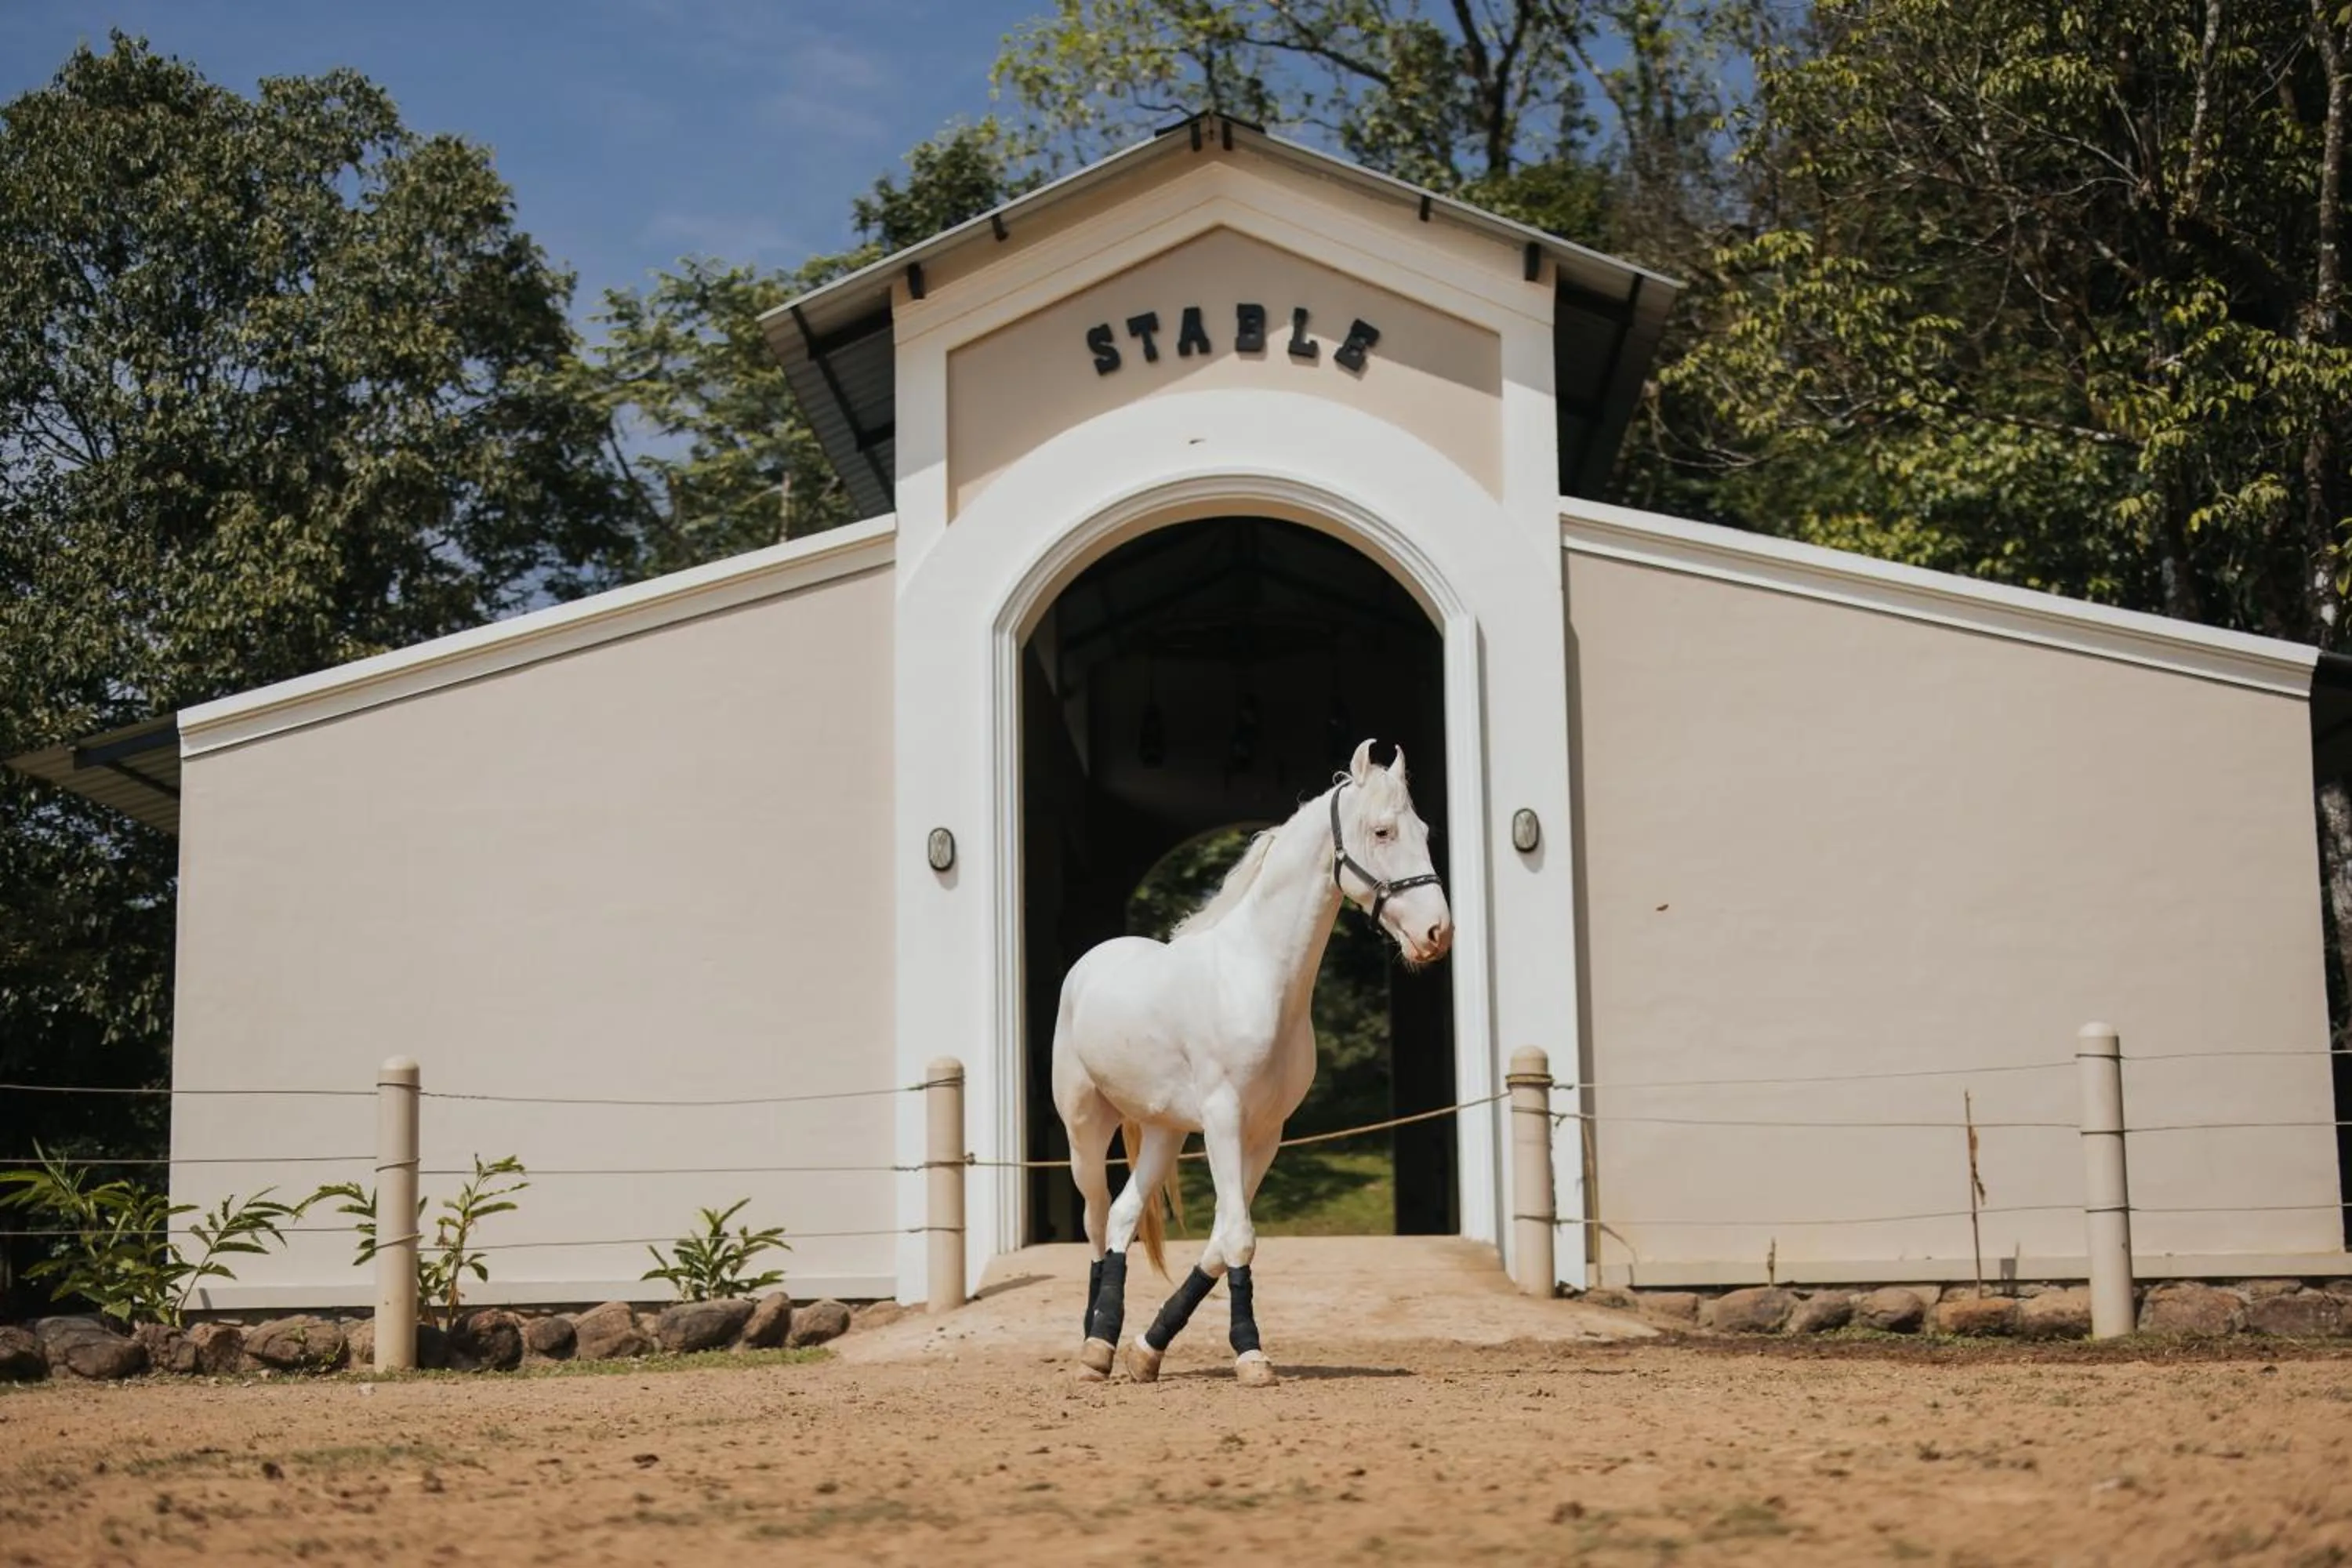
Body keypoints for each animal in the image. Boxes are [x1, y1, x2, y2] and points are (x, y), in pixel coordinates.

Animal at [1051, 738, 1453, 1386]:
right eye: (1383, 831)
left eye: (1422, 830)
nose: (1437, 933)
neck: (1258, 977)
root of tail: (1093, 962)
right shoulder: (1223, 1121)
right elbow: (1239, 1237)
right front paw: (1251, 1354)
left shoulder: (1266, 1133)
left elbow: (1222, 1239)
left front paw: (1149, 1350)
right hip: (1086, 1130)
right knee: (1093, 1223)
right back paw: (1092, 1347)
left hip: (1163, 1133)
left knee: (1121, 1217)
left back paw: (1110, 1344)